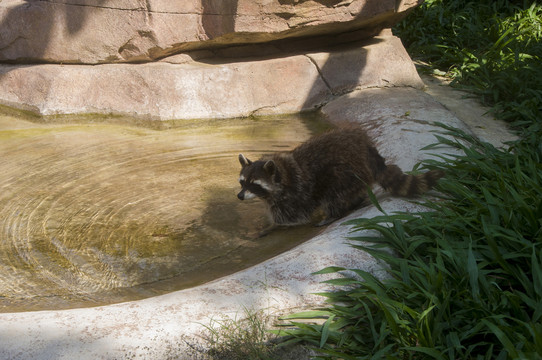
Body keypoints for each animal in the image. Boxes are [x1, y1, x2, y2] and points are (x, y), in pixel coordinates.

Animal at [239, 126, 446, 233]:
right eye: (242, 182)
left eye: (254, 184)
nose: (239, 196)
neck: (280, 174)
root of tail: (367, 149)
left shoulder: (294, 195)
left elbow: (292, 218)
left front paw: (271, 227)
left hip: (345, 172)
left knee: (333, 195)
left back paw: (333, 214)